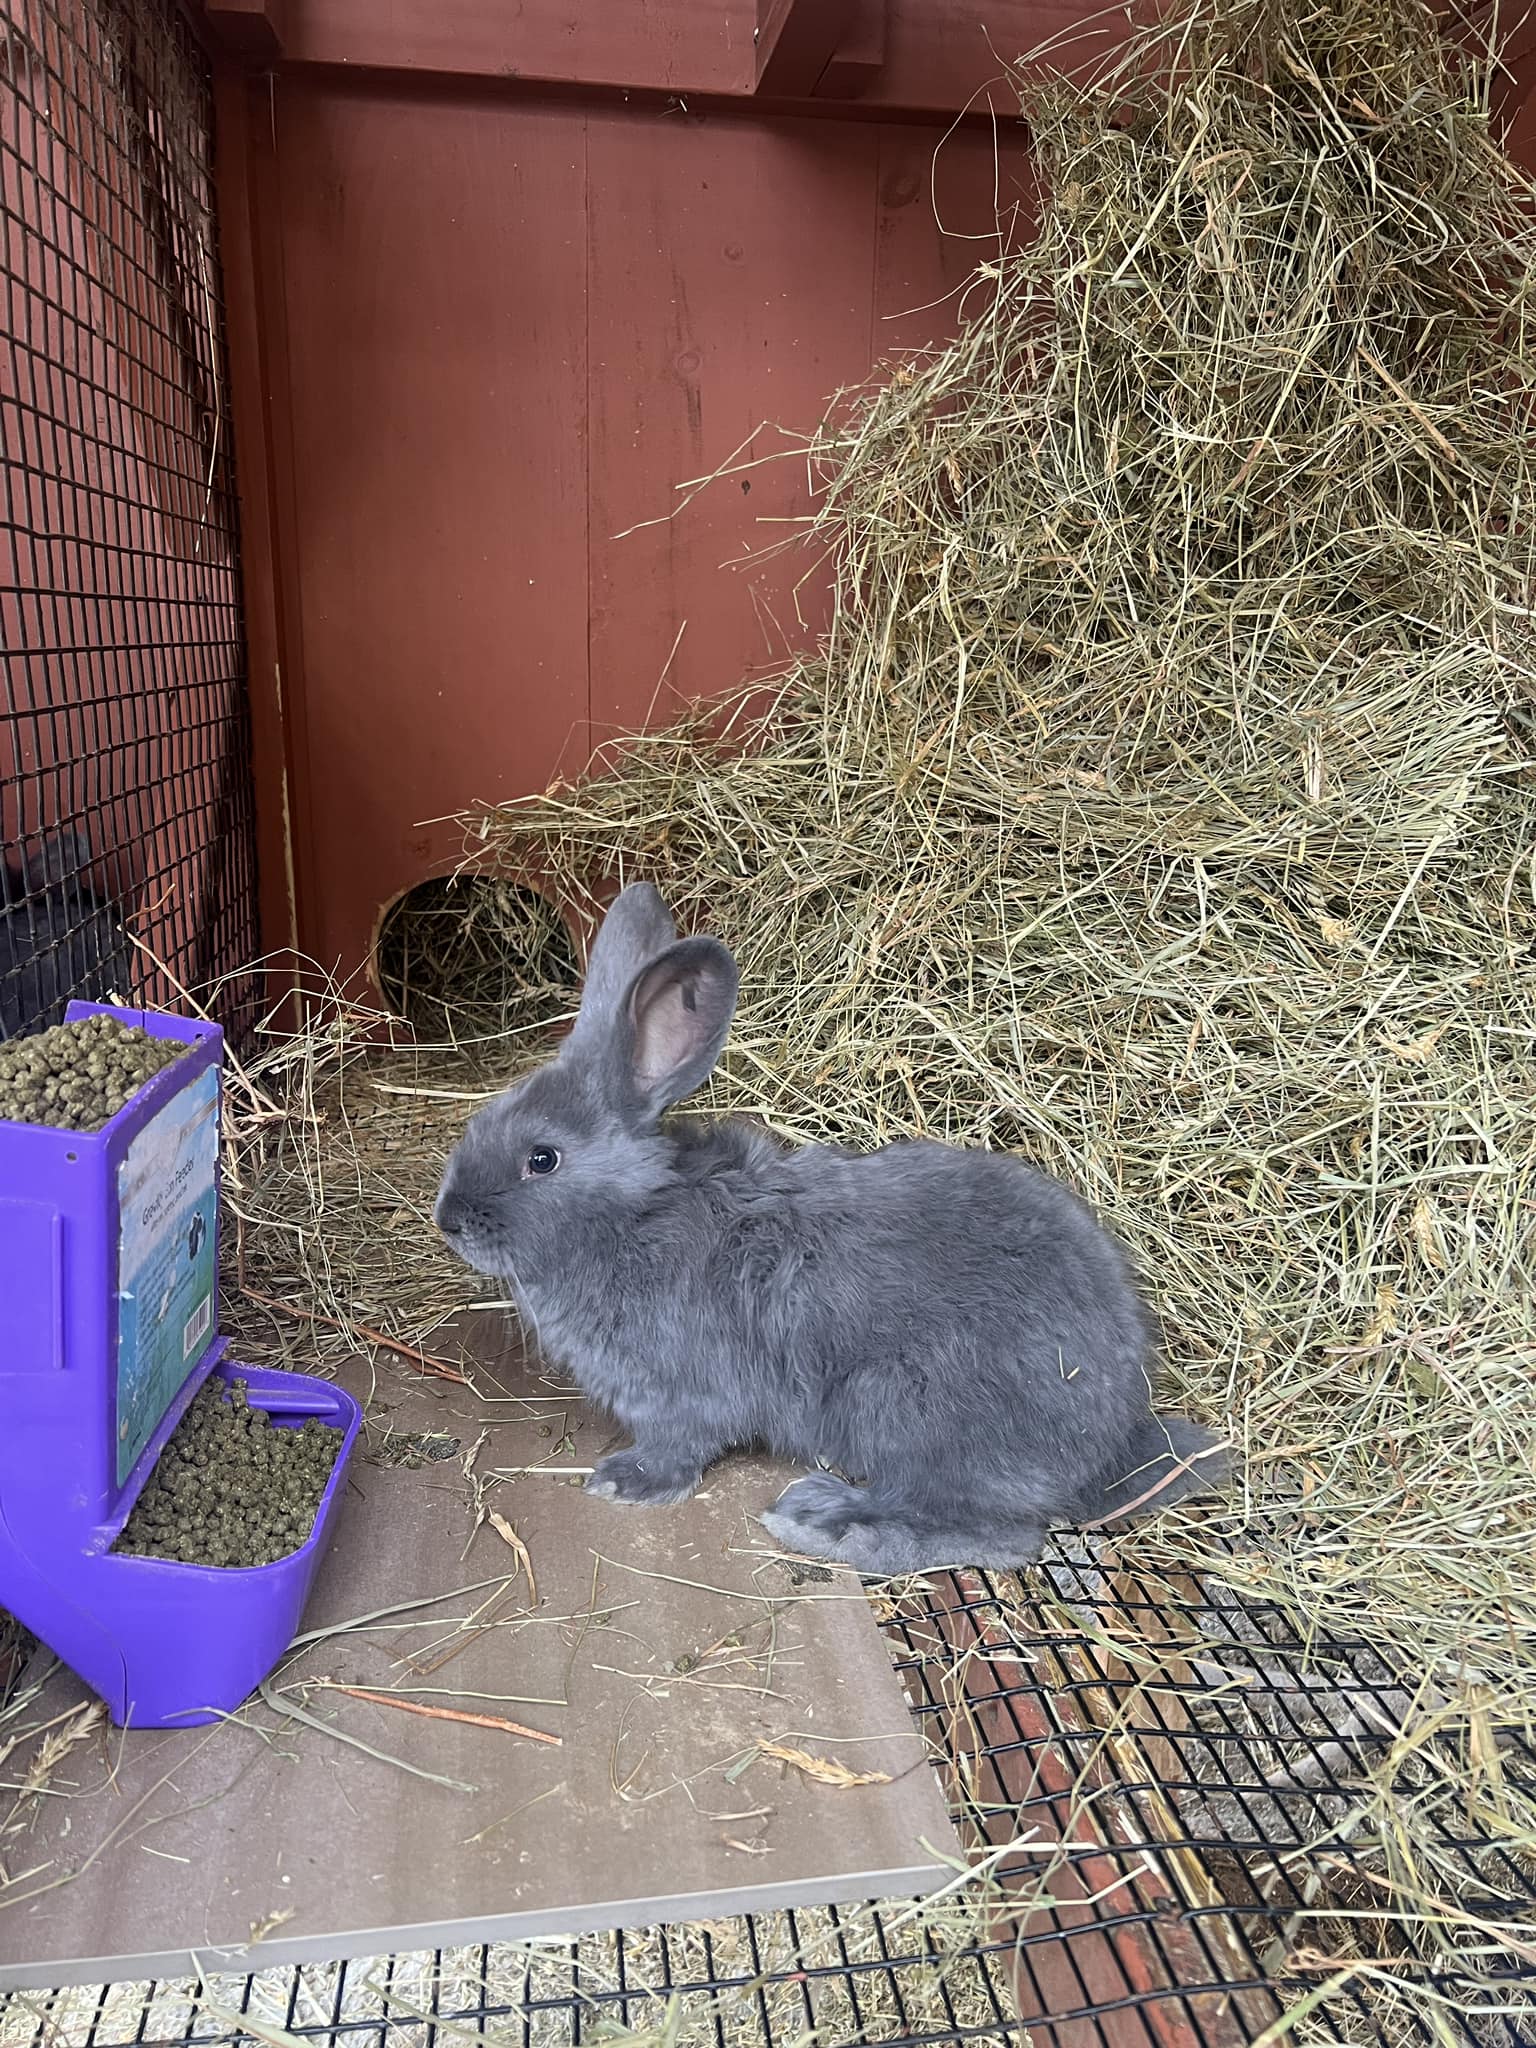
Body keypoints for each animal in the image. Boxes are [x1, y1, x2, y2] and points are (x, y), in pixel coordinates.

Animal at [433, 883, 1227, 1574]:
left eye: (542, 1158)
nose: (448, 1221)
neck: (632, 1213)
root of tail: (1115, 1440)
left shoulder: (681, 1397)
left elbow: (679, 1446)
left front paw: (624, 1481)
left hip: (900, 1408)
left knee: (996, 1534)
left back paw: (826, 1521)